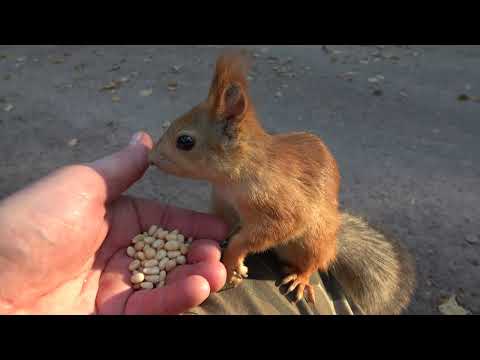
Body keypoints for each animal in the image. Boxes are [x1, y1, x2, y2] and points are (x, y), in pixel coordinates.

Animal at [150, 50, 416, 316]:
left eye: (185, 141)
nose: (151, 157)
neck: (231, 180)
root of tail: (334, 240)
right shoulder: (223, 203)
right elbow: (229, 225)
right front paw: (229, 255)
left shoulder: (278, 207)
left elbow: (266, 232)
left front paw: (233, 256)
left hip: (312, 242)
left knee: (313, 263)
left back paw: (300, 278)